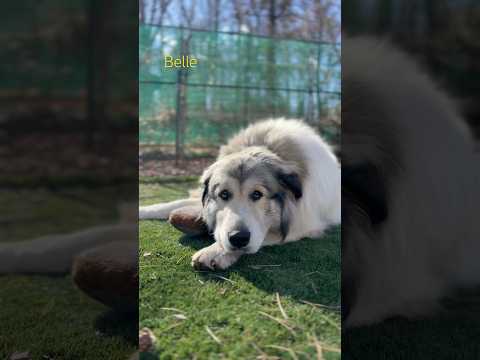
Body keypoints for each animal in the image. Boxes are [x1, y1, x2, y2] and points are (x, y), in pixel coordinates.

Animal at [139, 118, 342, 270]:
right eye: (224, 194)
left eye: (257, 195)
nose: (238, 238)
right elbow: (170, 204)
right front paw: (144, 210)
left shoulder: (302, 223)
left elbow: (262, 236)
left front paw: (214, 251)